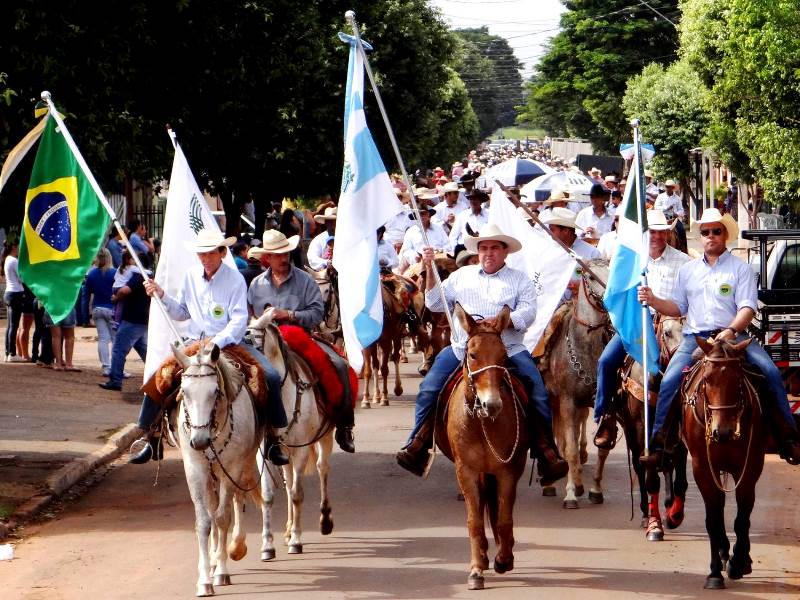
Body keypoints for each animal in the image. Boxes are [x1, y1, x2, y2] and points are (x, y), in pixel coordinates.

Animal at [172, 340, 266, 596]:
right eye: (184, 392)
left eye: (215, 391)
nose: (199, 441)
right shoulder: (195, 471)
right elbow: (205, 521)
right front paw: (205, 579)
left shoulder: (231, 469)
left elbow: (223, 518)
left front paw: (222, 572)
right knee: (215, 508)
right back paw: (215, 557)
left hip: (244, 465)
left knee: (240, 499)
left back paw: (240, 547)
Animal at [252, 312, 336, 556]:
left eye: (256, 347)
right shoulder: (265, 454)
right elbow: (269, 495)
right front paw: (267, 545)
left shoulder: (301, 451)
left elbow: (298, 494)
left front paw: (297, 541)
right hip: (284, 451)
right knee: (288, 483)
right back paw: (288, 529)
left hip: (324, 438)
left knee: (322, 469)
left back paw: (324, 520)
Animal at [434, 304, 528, 592]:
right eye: (473, 354)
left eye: (504, 355)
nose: (492, 404)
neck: (481, 423)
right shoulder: (466, 471)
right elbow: (474, 521)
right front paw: (476, 570)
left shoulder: (509, 470)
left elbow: (504, 517)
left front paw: (504, 559)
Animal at [680, 338, 764, 592]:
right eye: (707, 379)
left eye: (737, 379)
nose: (722, 432)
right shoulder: (703, 469)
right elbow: (713, 519)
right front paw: (715, 572)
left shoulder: (749, 467)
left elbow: (742, 517)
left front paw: (739, 562)